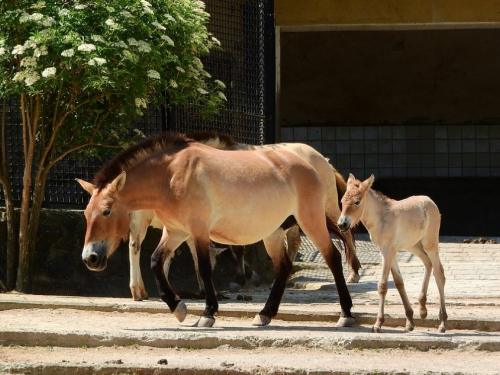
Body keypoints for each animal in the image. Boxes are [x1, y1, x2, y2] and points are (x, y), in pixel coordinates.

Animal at [78, 132, 356, 328]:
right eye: (86, 214)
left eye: (106, 211)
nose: (90, 258)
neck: (170, 175)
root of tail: (313, 165)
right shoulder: (176, 231)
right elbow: (156, 261)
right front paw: (178, 308)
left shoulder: (198, 230)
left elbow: (203, 267)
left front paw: (207, 313)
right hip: (274, 233)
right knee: (284, 267)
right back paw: (265, 314)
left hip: (311, 221)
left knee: (332, 257)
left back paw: (346, 314)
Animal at [338, 175, 448, 334]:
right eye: (341, 201)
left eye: (357, 202)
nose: (342, 224)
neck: (381, 219)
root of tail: (430, 201)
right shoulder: (390, 252)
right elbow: (399, 282)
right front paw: (409, 321)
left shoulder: (387, 252)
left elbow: (383, 285)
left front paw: (378, 324)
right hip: (413, 245)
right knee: (427, 263)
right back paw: (422, 309)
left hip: (430, 244)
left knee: (439, 274)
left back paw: (442, 322)